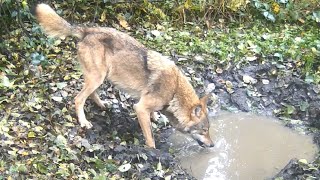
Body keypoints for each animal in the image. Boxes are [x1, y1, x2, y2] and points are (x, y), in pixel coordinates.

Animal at [35, 3, 214, 148]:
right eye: (204, 130)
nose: (213, 145)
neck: (174, 92)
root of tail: (86, 30)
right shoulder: (140, 108)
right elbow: (150, 137)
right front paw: (152, 151)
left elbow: (152, 115)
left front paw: (155, 117)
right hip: (97, 78)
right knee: (79, 99)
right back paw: (84, 122)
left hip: (101, 77)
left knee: (90, 94)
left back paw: (102, 105)